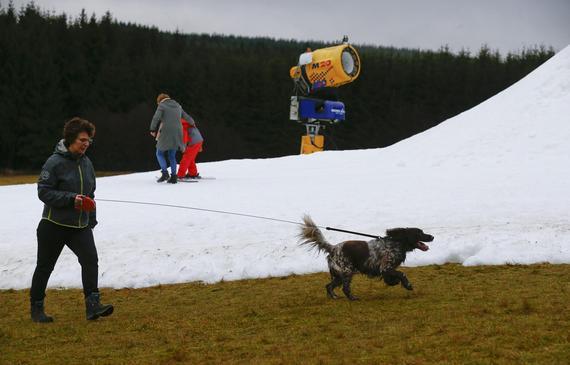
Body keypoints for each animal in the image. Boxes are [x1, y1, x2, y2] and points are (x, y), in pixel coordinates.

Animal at [298, 215, 430, 300]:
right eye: (420, 233)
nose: (432, 237)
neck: (397, 243)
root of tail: (333, 248)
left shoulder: (385, 269)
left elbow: (391, 277)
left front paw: (395, 282)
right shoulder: (385, 267)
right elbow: (401, 273)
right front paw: (408, 285)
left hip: (340, 275)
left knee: (329, 286)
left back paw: (334, 297)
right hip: (347, 271)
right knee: (345, 288)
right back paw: (353, 298)